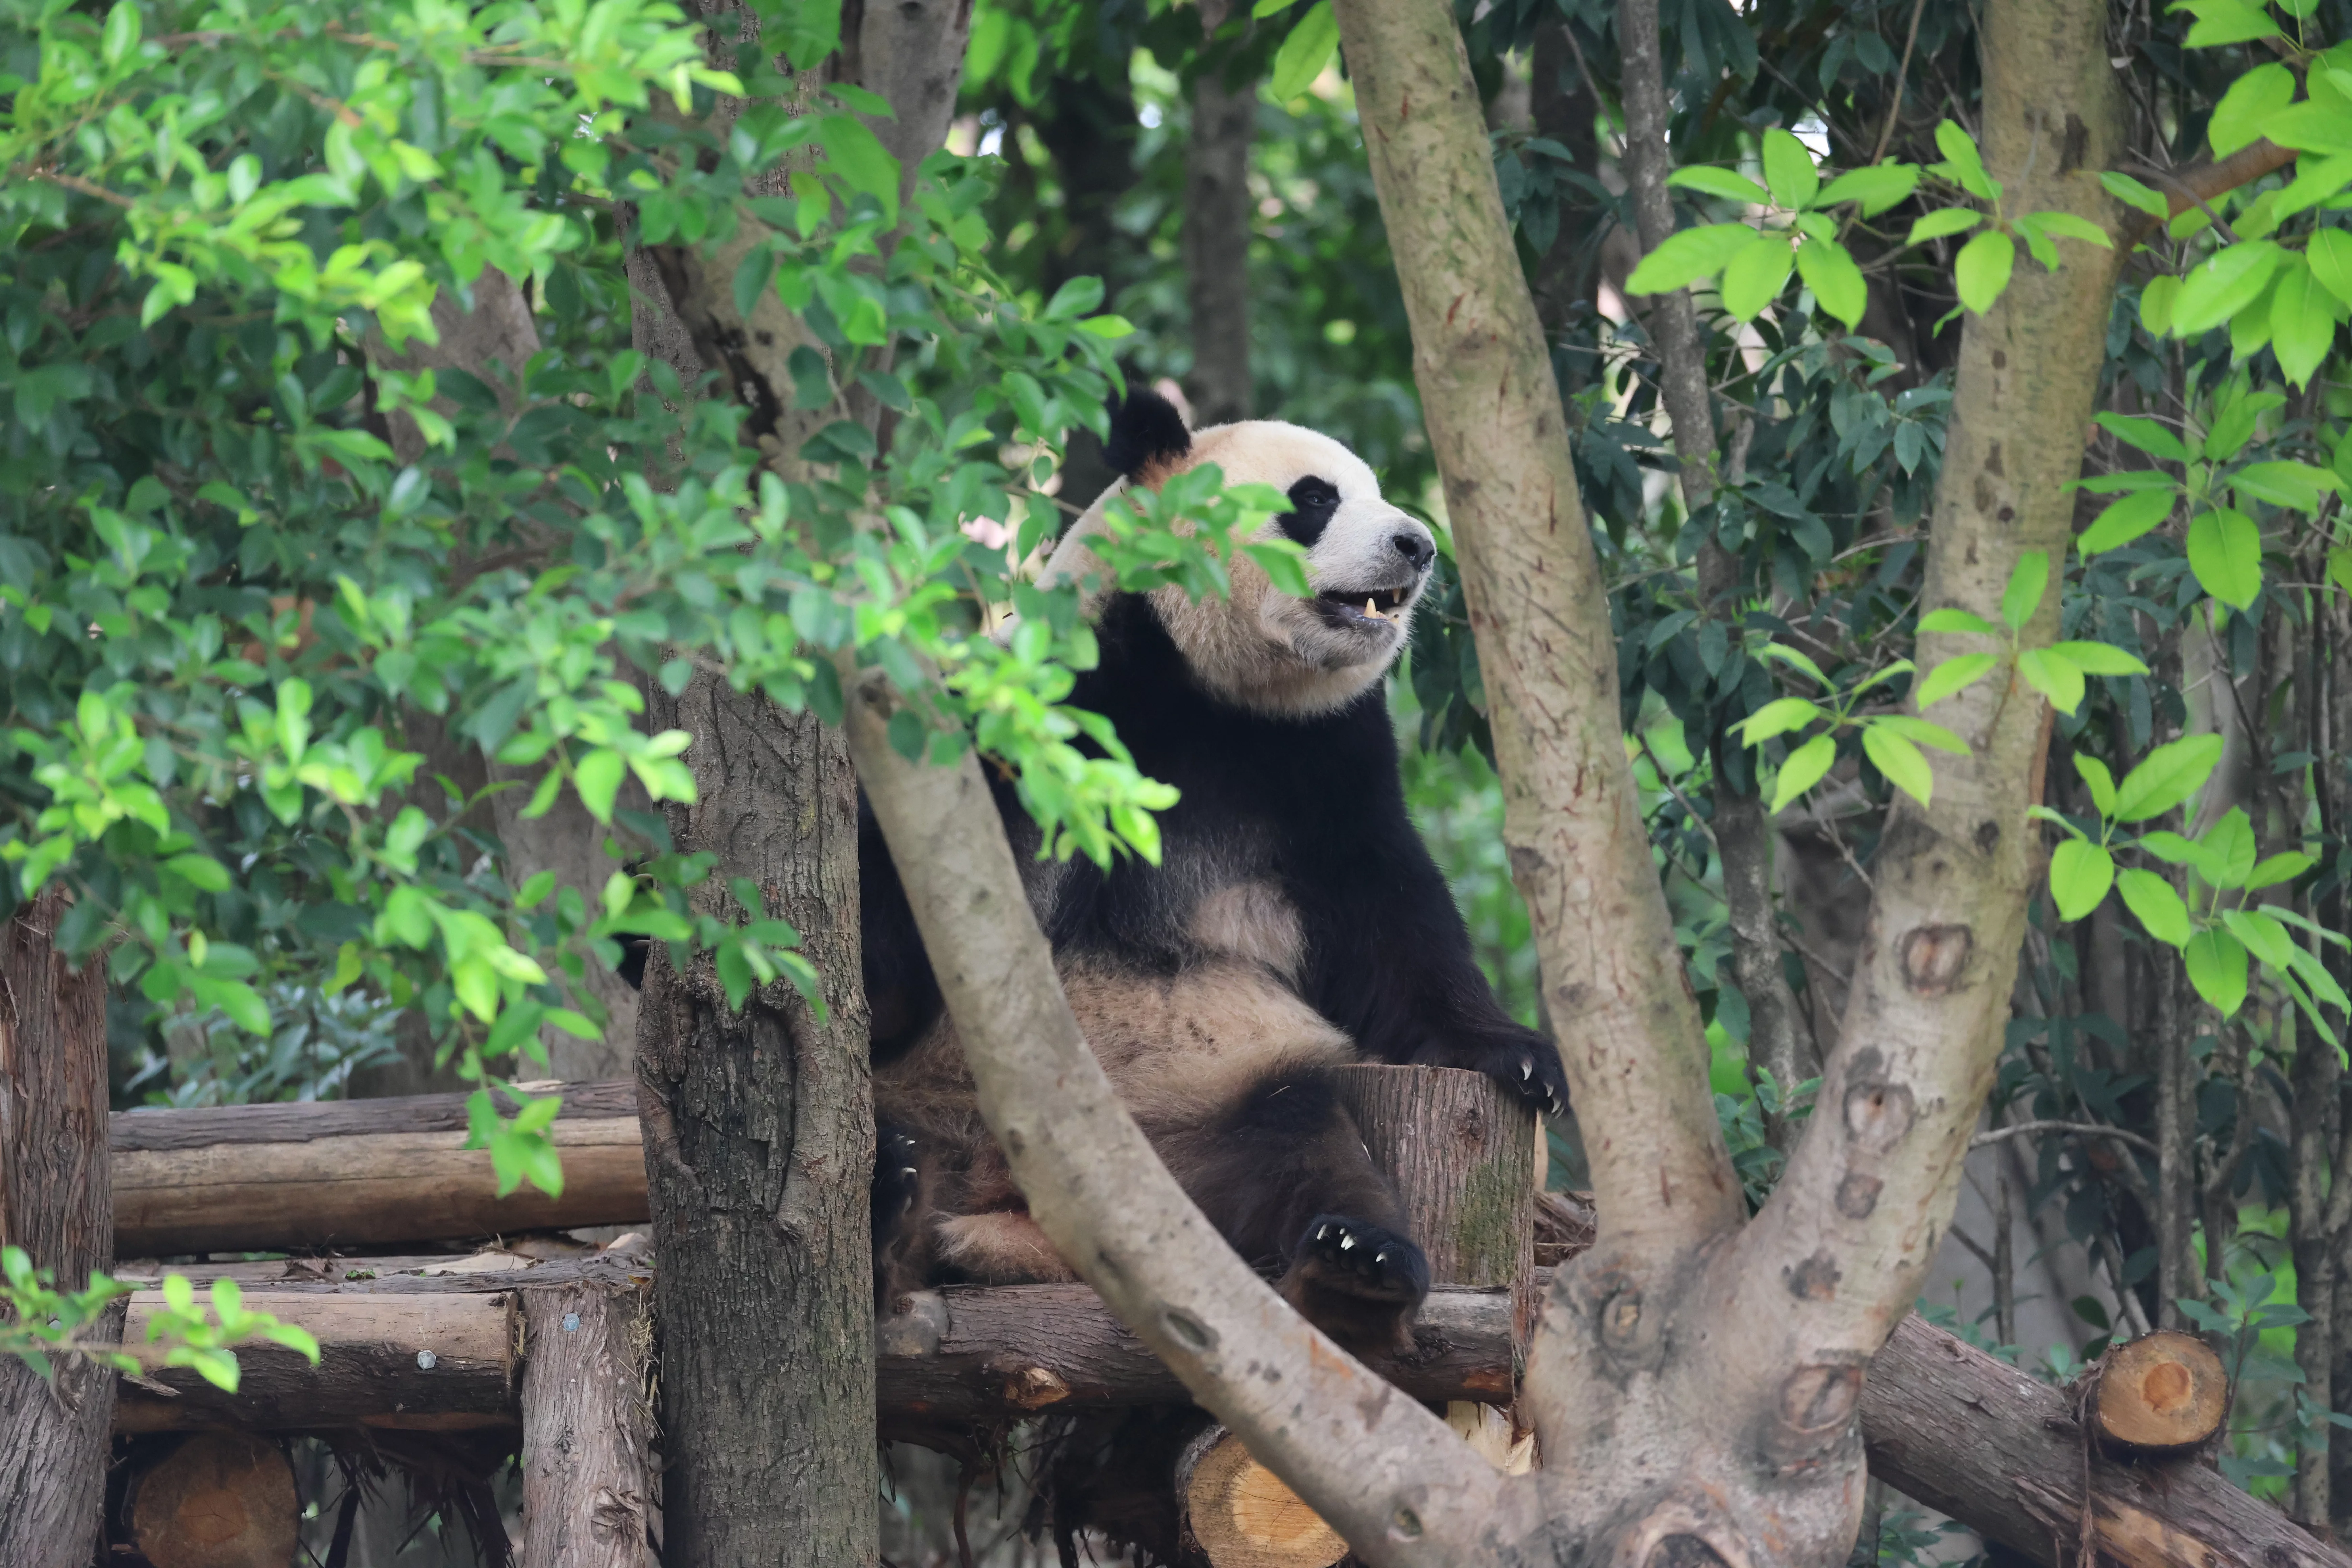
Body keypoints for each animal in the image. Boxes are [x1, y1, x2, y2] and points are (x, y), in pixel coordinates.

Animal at [860, 388, 1569, 1352]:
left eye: (1378, 491)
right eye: (1316, 498)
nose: (1418, 545)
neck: (1210, 687)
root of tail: (1011, 1210)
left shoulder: (1327, 764)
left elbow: (1395, 924)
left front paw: (1521, 1057)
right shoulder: (1047, 702)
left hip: (1209, 1102)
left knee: (1303, 1146)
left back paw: (1357, 1267)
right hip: (939, 1085)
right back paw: (884, 1198)